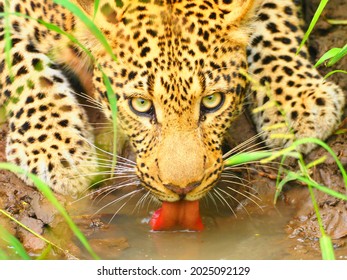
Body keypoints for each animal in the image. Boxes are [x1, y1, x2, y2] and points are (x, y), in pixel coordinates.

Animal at [0, 0, 346, 206]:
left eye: (212, 101)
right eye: (141, 105)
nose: (183, 189)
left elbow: (273, 19)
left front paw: (297, 99)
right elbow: (20, 66)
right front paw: (54, 152)